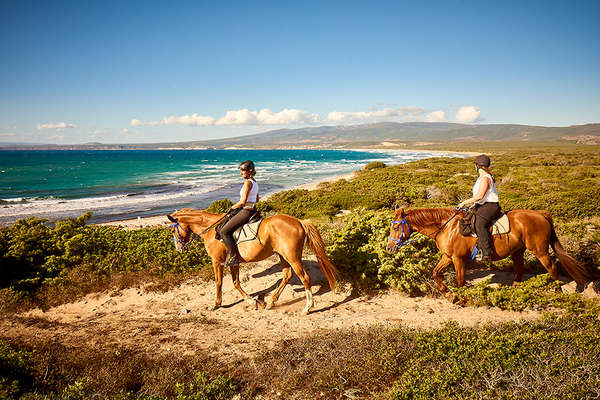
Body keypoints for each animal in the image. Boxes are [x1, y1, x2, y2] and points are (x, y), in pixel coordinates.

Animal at [169, 208, 338, 314]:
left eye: (172, 230)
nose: (179, 249)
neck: (210, 229)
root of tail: (299, 222)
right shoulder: (233, 262)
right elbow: (236, 282)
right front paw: (251, 301)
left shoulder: (216, 261)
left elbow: (218, 282)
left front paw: (216, 304)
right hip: (282, 255)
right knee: (287, 275)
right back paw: (272, 302)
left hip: (292, 257)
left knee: (305, 278)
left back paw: (307, 308)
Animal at [386, 209, 588, 300]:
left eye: (396, 227)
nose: (388, 248)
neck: (446, 227)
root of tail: (541, 214)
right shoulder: (447, 257)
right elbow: (435, 273)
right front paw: (448, 294)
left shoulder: (458, 259)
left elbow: (460, 281)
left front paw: (460, 299)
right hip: (518, 251)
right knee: (519, 271)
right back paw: (512, 293)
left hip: (539, 251)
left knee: (552, 268)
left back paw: (557, 292)